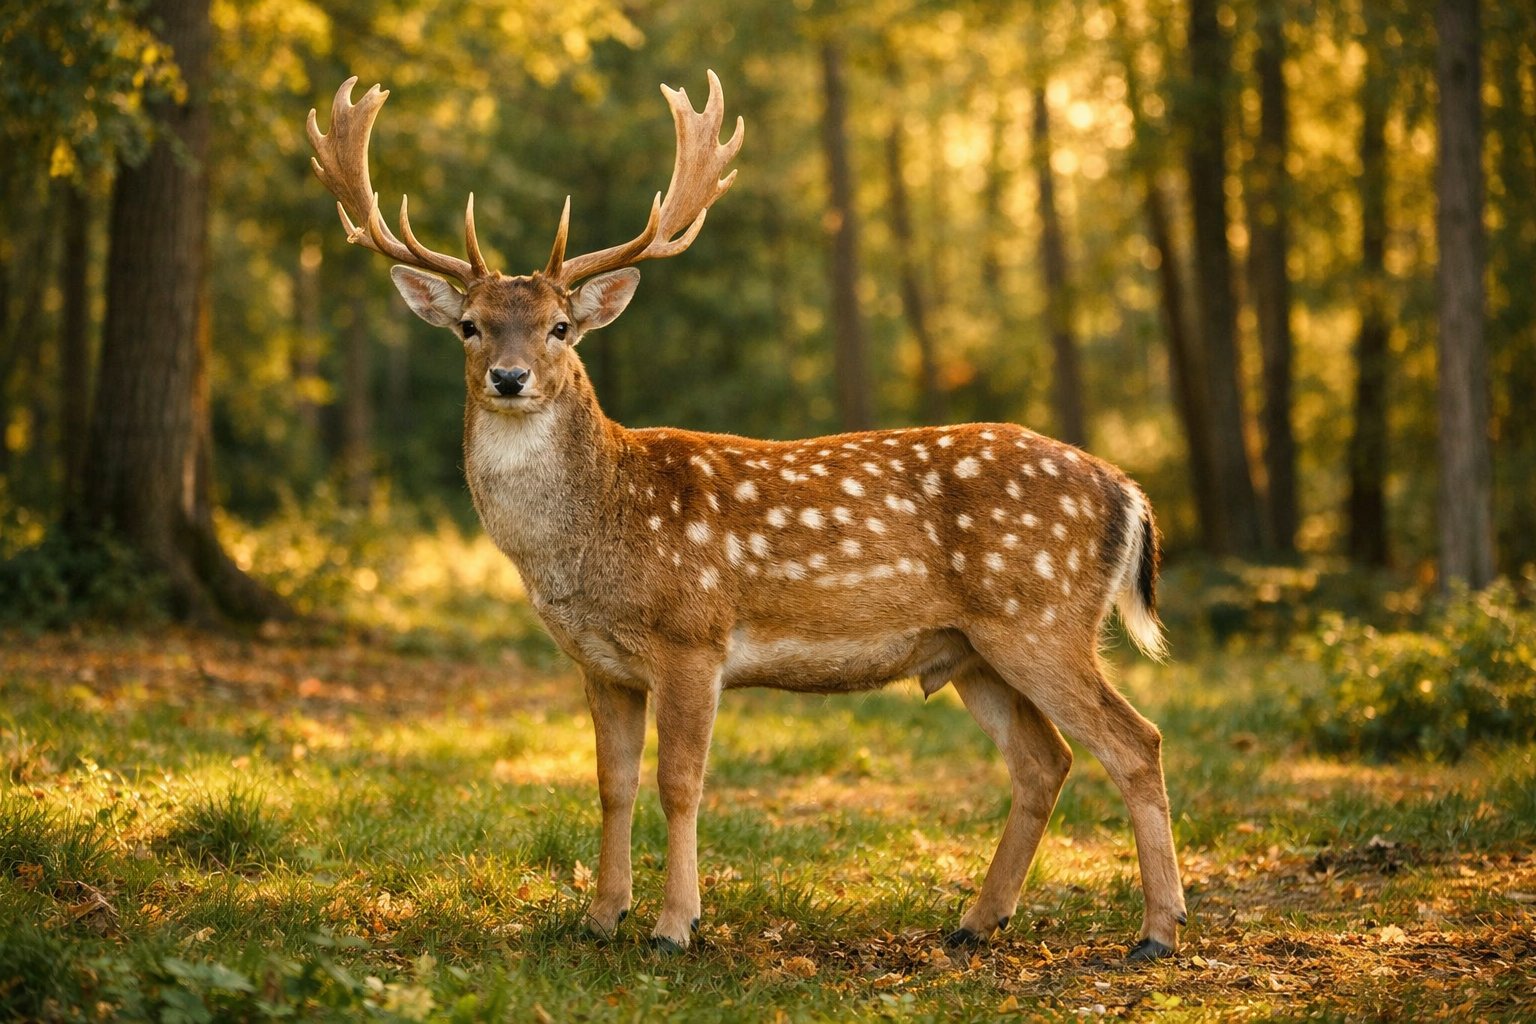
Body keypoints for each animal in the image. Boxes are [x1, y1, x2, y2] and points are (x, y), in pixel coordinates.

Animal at [307, 72, 1186, 959]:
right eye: (469, 327)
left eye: (561, 327)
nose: (510, 377)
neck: (593, 537)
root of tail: (1125, 489)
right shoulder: (599, 663)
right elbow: (612, 784)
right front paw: (601, 918)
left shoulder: (694, 635)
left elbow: (680, 783)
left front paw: (674, 926)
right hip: (972, 649)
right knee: (1046, 761)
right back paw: (976, 922)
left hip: (1038, 616)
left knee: (1135, 741)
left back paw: (1157, 931)